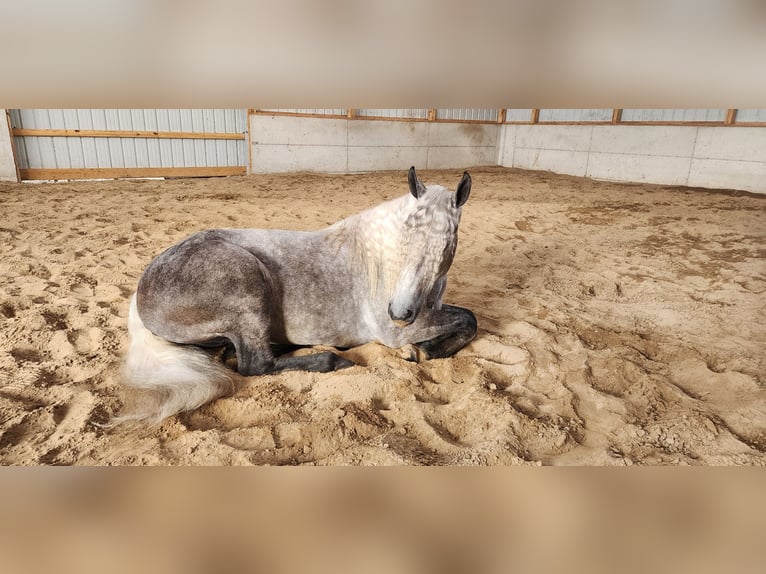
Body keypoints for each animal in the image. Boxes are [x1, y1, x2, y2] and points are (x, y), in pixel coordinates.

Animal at [120, 166, 476, 424]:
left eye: (447, 241)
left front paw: (422, 350)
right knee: (255, 364)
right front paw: (421, 351)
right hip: (248, 286)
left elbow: (466, 319)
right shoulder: (395, 331)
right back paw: (331, 360)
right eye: (405, 236)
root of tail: (141, 290)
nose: (399, 312)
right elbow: (470, 320)